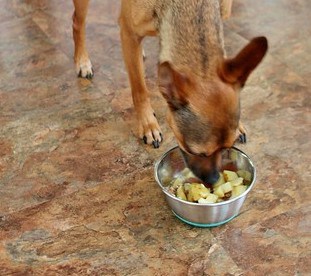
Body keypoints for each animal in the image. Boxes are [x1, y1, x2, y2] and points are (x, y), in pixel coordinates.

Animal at [71, 1, 268, 184]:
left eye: (227, 148)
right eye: (197, 152)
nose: (213, 180)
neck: (192, 8)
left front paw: (239, 125)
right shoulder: (129, 33)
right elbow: (139, 89)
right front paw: (148, 124)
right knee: (77, 22)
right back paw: (82, 61)